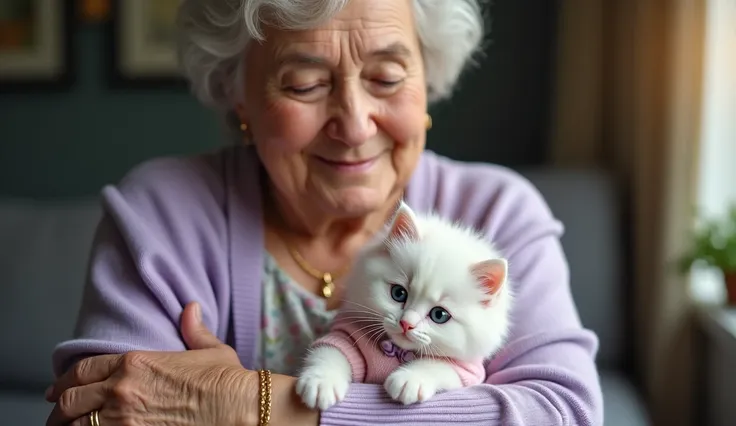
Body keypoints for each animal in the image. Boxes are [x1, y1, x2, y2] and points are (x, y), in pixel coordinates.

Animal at [294, 203, 512, 410]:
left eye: (439, 315)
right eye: (398, 293)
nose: (406, 324)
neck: (397, 350)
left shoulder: (467, 371)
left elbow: (436, 365)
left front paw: (409, 380)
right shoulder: (346, 335)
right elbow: (331, 352)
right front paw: (321, 382)